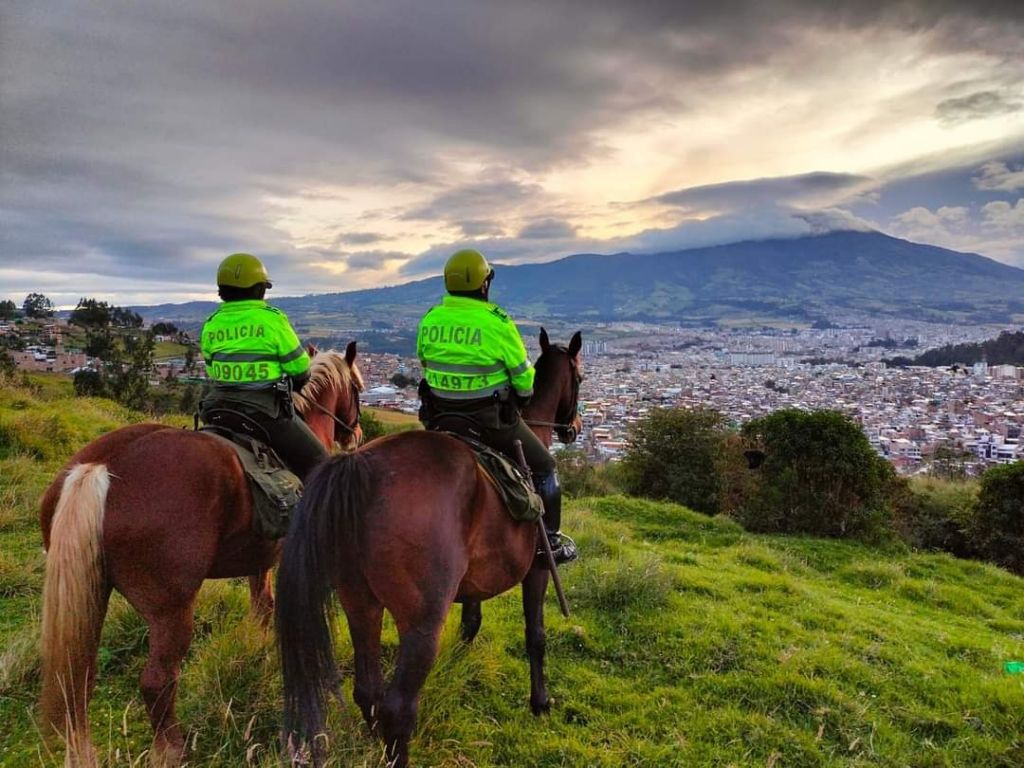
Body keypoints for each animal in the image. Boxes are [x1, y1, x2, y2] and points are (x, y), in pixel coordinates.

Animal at [39, 348, 364, 768]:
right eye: (357, 388)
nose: (356, 434)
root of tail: (102, 467)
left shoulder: (260, 558)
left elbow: (262, 606)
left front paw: (258, 649)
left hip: (89, 595)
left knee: (78, 679)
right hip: (171, 608)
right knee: (157, 681)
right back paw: (172, 749)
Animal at [278, 329, 585, 768]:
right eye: (579, 377)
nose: (573, 427)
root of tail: (359, 466)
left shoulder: (475, 580)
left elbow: (471, 622)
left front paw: (460, 663)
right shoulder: (537, 571)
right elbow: (536, 636)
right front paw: (540, 702)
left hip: (359, 602)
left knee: (368, 692)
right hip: (422, 621)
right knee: (398, 706)